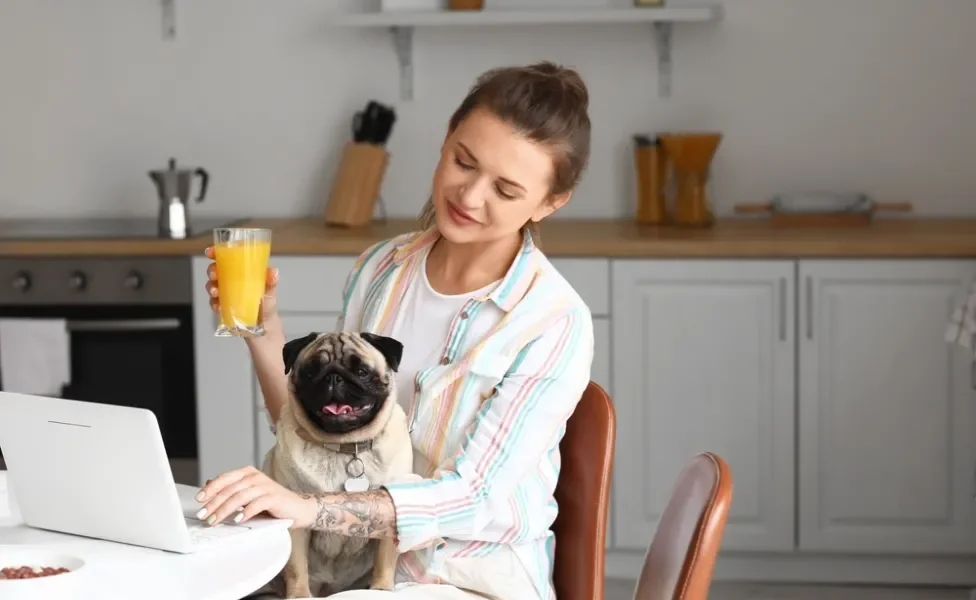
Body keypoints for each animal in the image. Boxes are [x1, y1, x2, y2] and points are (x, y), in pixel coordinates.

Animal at [260, 330, 412, 596]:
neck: (344, 447)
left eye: (362, 372)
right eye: (310, 372)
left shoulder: (390, 519)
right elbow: (296, 568)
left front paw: (381, 589)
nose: (333, 377)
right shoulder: (296, 524)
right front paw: (299, 595)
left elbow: (384, 561)